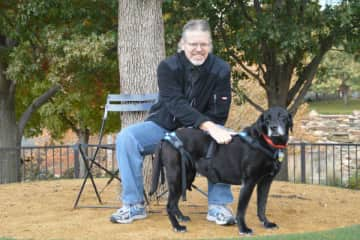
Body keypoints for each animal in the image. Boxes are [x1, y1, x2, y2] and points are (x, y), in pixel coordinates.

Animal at [149, 106, 292, 234]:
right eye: (267, 119)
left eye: (283, 117)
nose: (273, 127)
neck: (267, 143)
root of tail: (166, 138)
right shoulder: (248, 182)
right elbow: (242, 209)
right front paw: (243, 229)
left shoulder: (266, 182)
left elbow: (262, 206)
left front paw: (266, 223)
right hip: (176, 176)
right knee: (169, 205)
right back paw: (177, 226)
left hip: (186, 176)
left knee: (174, 203)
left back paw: (181, 218)